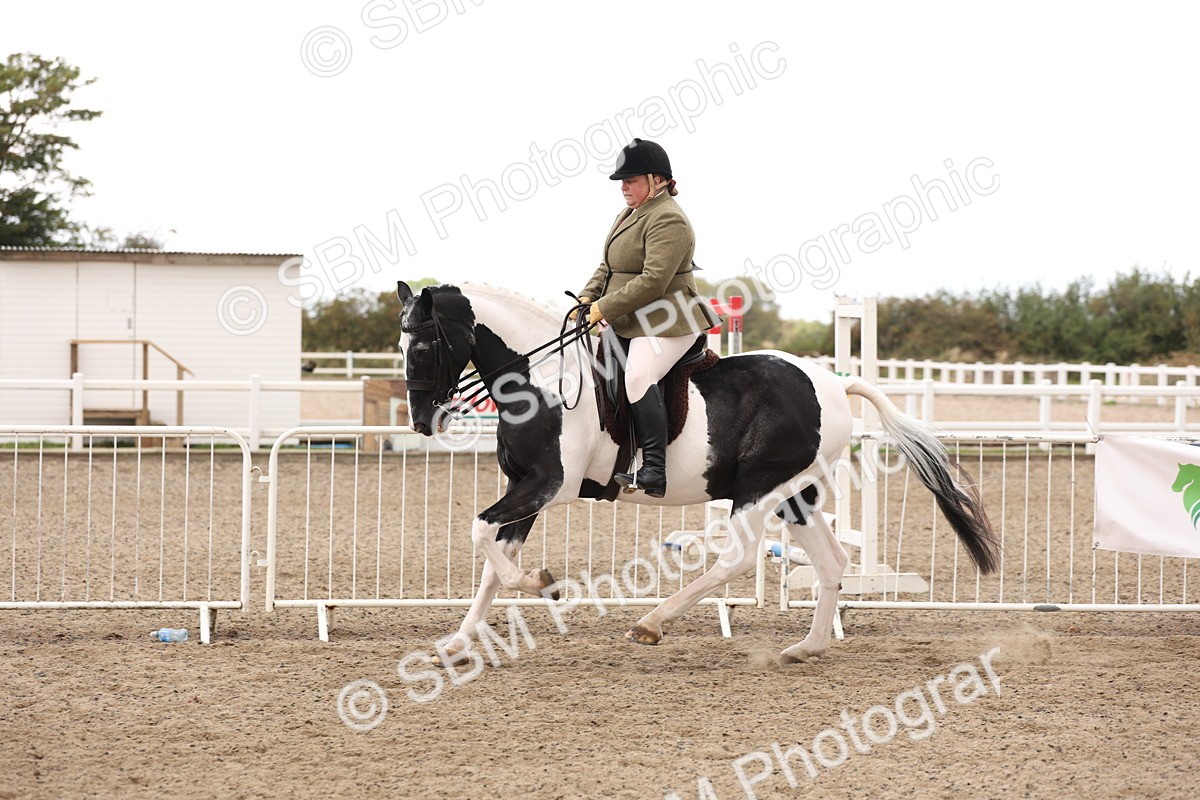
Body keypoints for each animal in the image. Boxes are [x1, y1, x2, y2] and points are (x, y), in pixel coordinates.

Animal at [396, 281, 1000, 664]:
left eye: (422, 346)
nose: (424, 421)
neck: (540, 381)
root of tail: (832, 382)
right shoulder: (523, 488)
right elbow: (492, 562)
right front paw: (458, 642)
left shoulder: (549, 487)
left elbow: (482, 535)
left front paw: (545, 586)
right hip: (795, 495)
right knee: (832, 561)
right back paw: (806, 648)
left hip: (758, 490)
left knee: (739, 557)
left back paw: (652, 623)